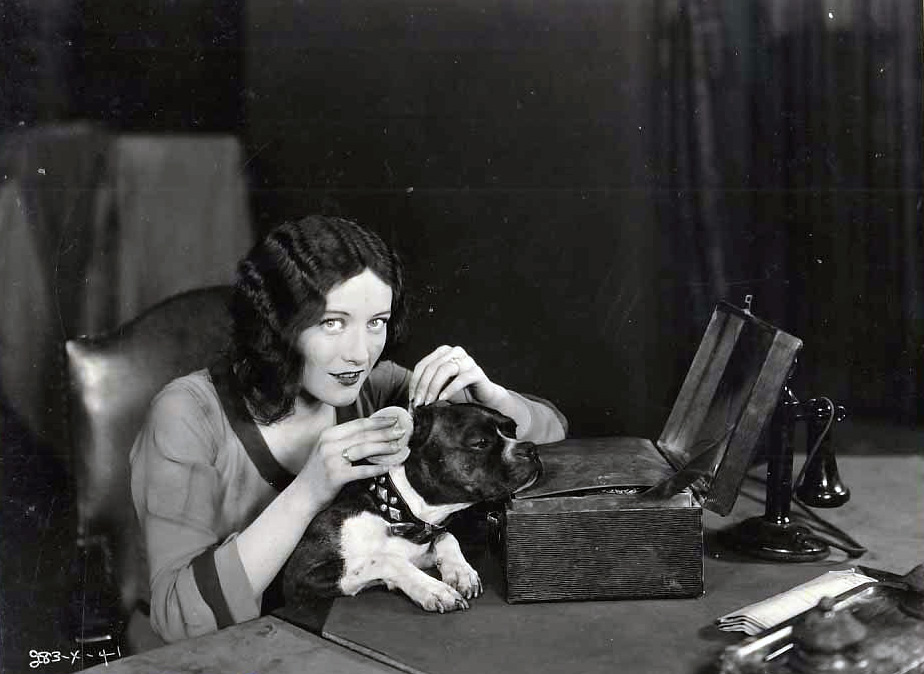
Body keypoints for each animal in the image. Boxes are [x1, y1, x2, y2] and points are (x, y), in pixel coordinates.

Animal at [284, 402, 540, 612]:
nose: (530, 448)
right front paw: (434, 590)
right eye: (480, 443)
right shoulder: (303, 573)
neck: (395, 512)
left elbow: (446, 536)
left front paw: (461, 571)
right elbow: (386, 558)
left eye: (513, 430)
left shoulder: (422, 547)